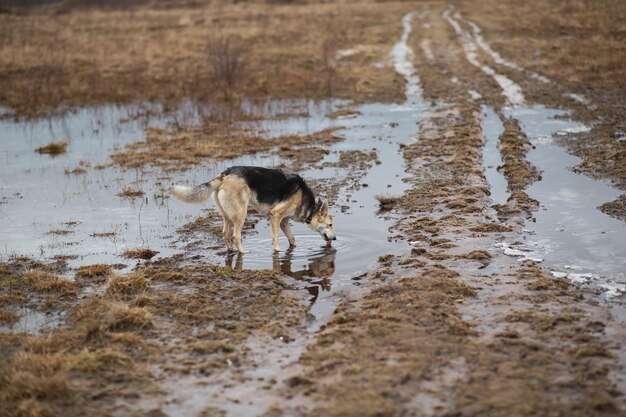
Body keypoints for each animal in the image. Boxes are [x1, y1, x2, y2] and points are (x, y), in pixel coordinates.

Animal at [168, 165, 336, 250]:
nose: (335, 238)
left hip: (227, 216)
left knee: (225, 234)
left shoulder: (283, 221)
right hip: (241, 214)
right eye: (330, 225)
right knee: (236, 235)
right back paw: (243, 252)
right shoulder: (275, 216)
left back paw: (231, 251)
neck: (309, 206)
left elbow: (292, 239)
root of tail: (224, 175)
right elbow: (275, 240)